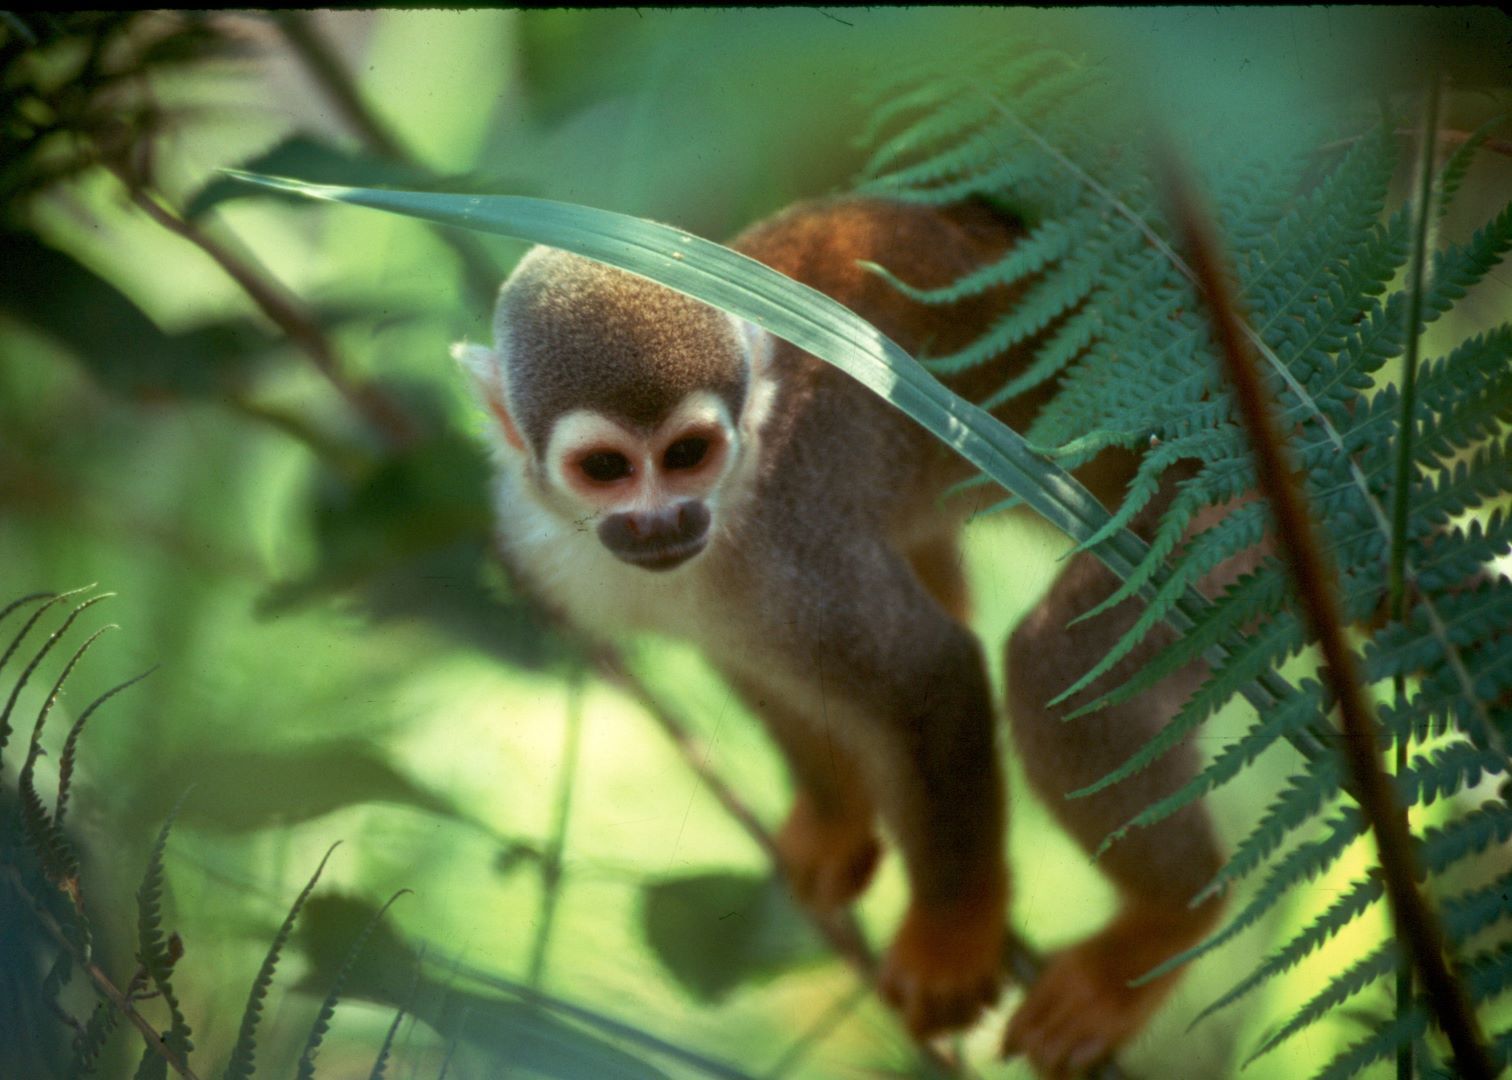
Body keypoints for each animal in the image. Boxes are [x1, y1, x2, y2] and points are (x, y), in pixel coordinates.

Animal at [453, 196, 1228, 1076]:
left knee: (1061, 668)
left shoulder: (794, 544)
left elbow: (929, 677)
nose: (666, 519)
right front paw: (832, 828)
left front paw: (951, 939)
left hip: (1217, 534)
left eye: (687, 454)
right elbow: (758, 671)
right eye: (607, 469)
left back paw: (1164, 926)